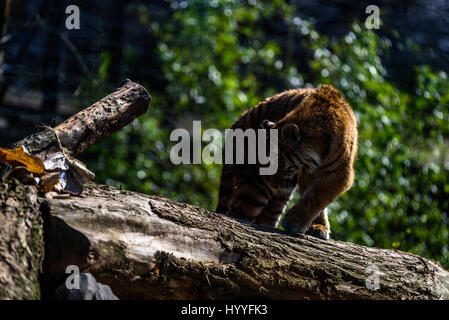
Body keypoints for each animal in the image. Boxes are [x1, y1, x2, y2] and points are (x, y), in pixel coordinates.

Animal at [217, 84, 356, 239]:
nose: (273, 184)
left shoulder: (339, 173)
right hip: (256, 189)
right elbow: (312, 196)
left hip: (277, 200)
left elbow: (316, 197)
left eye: (280, 164)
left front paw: (315, 227)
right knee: (238, 211)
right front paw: (296, 224)